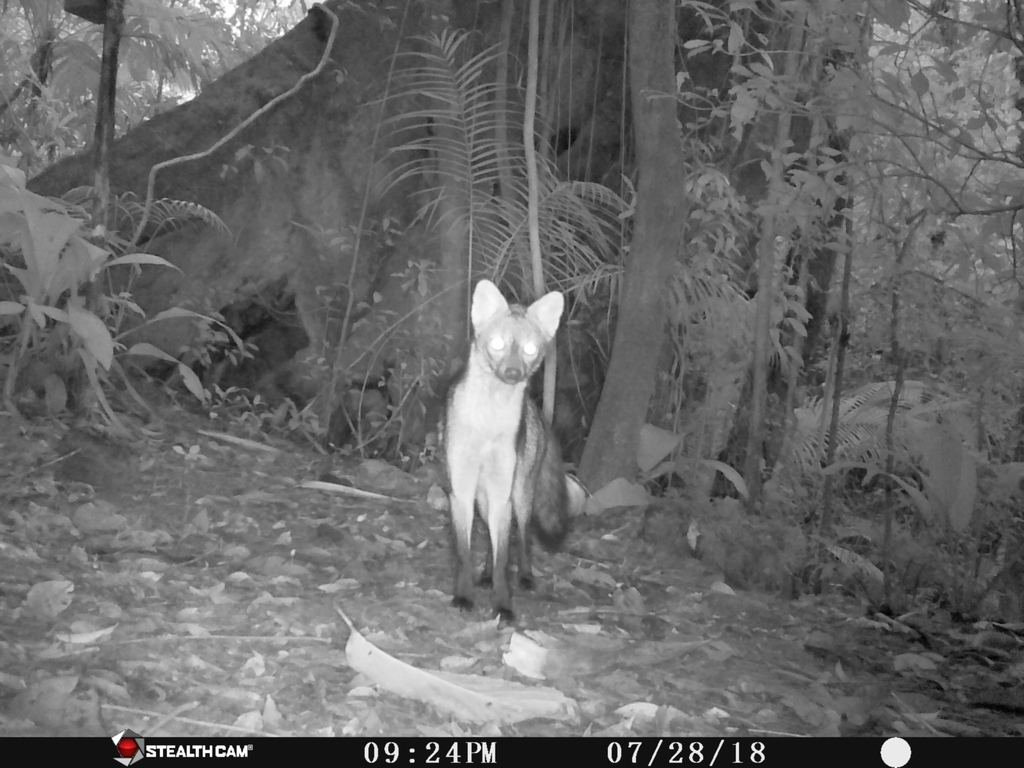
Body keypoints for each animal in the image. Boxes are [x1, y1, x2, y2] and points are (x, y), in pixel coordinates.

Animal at [441, 279, 576, 622]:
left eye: (529, 349)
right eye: (498, 344)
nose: (514, 373)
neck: (487, 424)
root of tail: (535, 409)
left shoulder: (502, 493)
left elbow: (505, 557)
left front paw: (503, 604)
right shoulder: (461, 492)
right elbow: (465, 552)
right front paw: (464, 595)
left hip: (519, 496)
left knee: (522, 539)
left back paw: (525, 576)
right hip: (483, 500)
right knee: (492, 543)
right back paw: (486, 575)